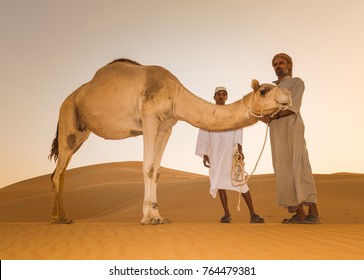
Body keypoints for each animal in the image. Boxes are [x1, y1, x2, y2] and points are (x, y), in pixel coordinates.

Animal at [49, 58, 292, 224]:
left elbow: (156, 171)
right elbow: (147, 167)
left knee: (58, 172)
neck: (175, 95)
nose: (288, 95)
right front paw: (148, 218)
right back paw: (60, 218)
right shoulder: (149, 118)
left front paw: (158, 216)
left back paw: (60, 217)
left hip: (82, 132)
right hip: (68, 118)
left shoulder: (166, 126)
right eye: (264, 90)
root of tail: (67, 99)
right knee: (59, 171)